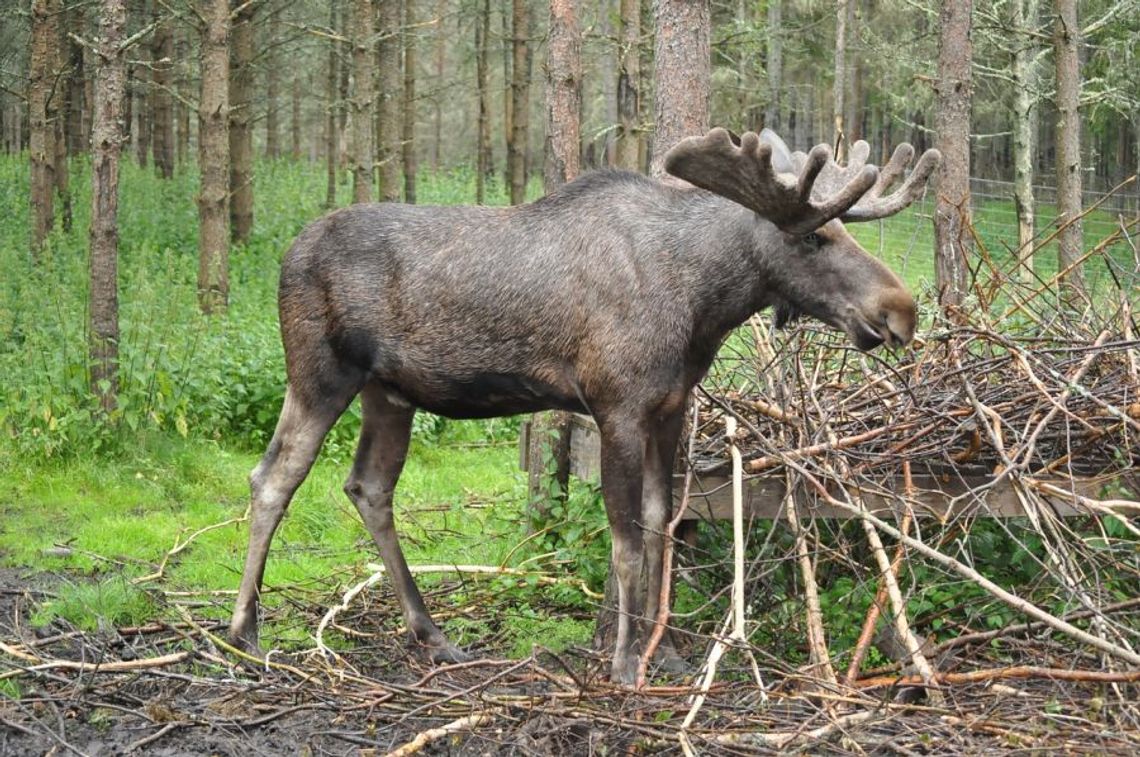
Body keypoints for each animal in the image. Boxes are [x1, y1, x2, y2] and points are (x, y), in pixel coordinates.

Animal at [226, 128, 939, 684]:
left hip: (389, 392)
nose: (900, 311)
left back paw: (431, 633)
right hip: (320, 373)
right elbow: (624, 539)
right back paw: (244, 633)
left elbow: (660, 523)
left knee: (368, 486)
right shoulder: (616, 404)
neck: (703, 305)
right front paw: (623, 662)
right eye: (814, 238)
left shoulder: (669, 406)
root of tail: (287, 255)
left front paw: (666, 652)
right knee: (273, 477)